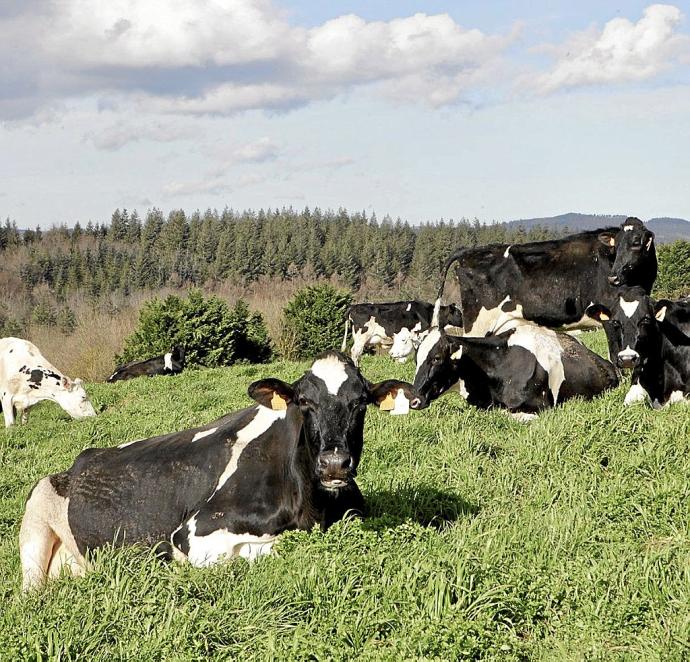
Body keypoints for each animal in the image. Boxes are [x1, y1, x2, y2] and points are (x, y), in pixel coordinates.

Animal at [18, 352, 414, 592]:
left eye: (360, 402)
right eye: (304, 402)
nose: (334, 464)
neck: (311, 505)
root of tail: (79, 460)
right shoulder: (193, 534)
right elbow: (271, 548)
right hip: (34, 522)